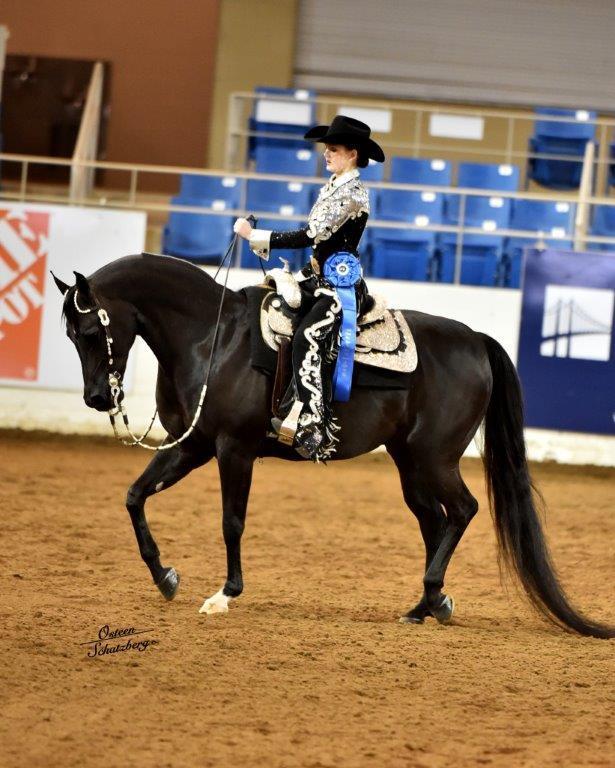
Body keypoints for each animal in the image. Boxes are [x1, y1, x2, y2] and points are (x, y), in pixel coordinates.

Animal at [52, 252, 613, 638]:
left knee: (463, 510)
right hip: (410, 462)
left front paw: (224, 595)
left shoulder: (233, 449)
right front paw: (164, 576)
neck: (212, 339)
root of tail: (475, 339)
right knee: (435, 521)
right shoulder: (190, 446)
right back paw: (427, 605)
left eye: (89, 328)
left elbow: (231, 521)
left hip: (435, 458)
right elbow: (135, 495)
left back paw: (433, 598)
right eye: (70, 336)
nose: (96, 397)